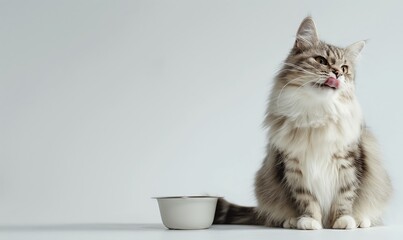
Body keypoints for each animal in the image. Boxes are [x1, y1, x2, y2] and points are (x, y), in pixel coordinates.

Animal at [216, 15, 392, 230]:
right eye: (321, 61)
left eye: (344, 68)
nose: (337, 73)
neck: (317, 113)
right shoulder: (295, 168)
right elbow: (307, 200)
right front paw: (311, 222)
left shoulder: (348, 163)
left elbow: (344, 197)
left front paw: (342, 221)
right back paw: (291, 221)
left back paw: (360, 221)